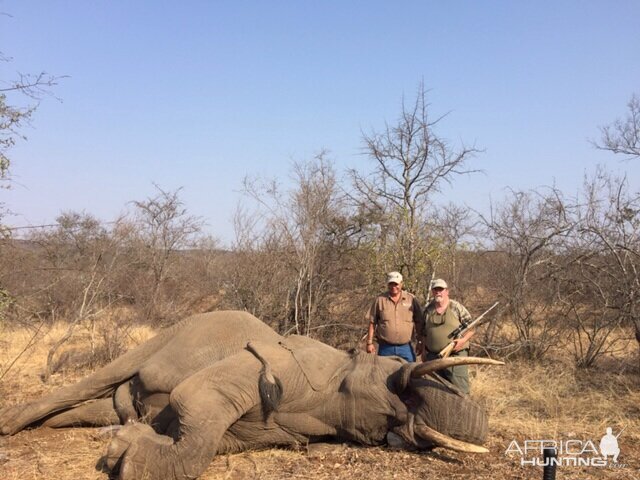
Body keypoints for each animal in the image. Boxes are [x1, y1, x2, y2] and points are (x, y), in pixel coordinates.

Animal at [0, 312, 502, 480]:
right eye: (397, 381)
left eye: (391, 428)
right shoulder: (284, 363)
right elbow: (192, 396)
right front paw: (122, 457)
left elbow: (216, 434)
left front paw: (129, 444)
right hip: (175, 331)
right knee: (105, 377)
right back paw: (12, 424)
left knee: (102, 403)